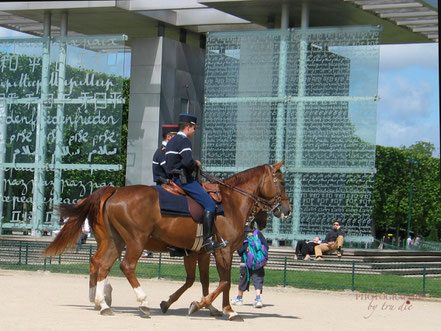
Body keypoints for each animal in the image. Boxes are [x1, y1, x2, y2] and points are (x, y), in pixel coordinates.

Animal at [44, 161, 290, 322]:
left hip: (116, 242)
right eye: (282, 182)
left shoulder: (201, 252)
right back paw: (141, 302)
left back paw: (101, 302)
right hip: (135, 241)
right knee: (126, 266)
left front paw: (208, 306)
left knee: (100, 264)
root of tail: (114, 191)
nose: (286, 210)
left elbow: (202, 281)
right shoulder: (224, 250)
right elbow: (225, 282)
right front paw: (225, 309)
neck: (229, 203)